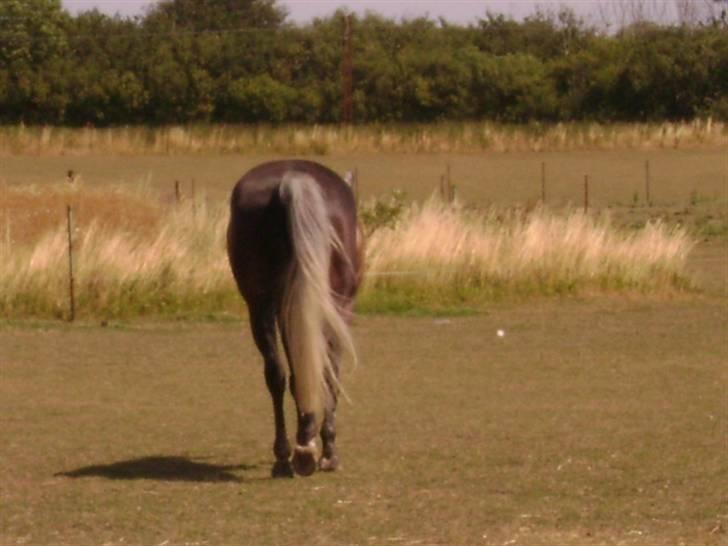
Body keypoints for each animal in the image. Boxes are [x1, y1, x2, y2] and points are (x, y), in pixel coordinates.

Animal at [226, 158, 362, 476]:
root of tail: (293, 180)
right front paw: (325, 449)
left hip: (263, 306)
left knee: (278, 373)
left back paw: (293, 454)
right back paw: (308, 452)